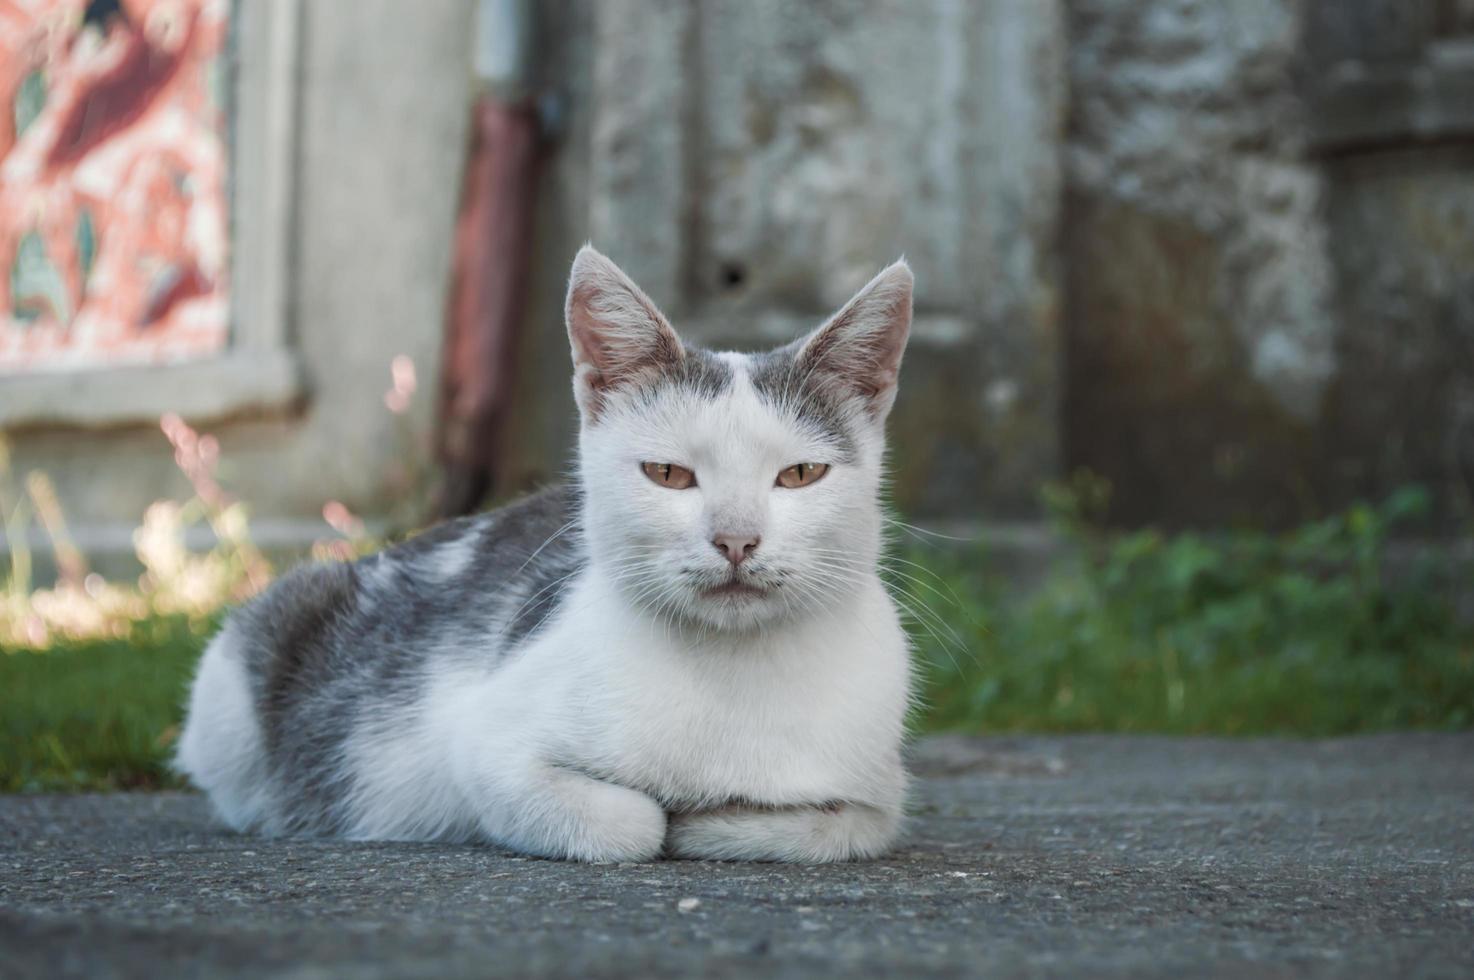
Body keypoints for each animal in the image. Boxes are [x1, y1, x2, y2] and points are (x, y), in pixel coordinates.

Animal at [172, 246, 907, 866]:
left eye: (801, 474)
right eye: (668, 475)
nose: (735, 539)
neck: (734, 678)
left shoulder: (877, 792)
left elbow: (837, 824)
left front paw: (717, 818)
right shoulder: (483, 747)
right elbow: (631, 824)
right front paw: (677, 816)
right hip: (236, 678)